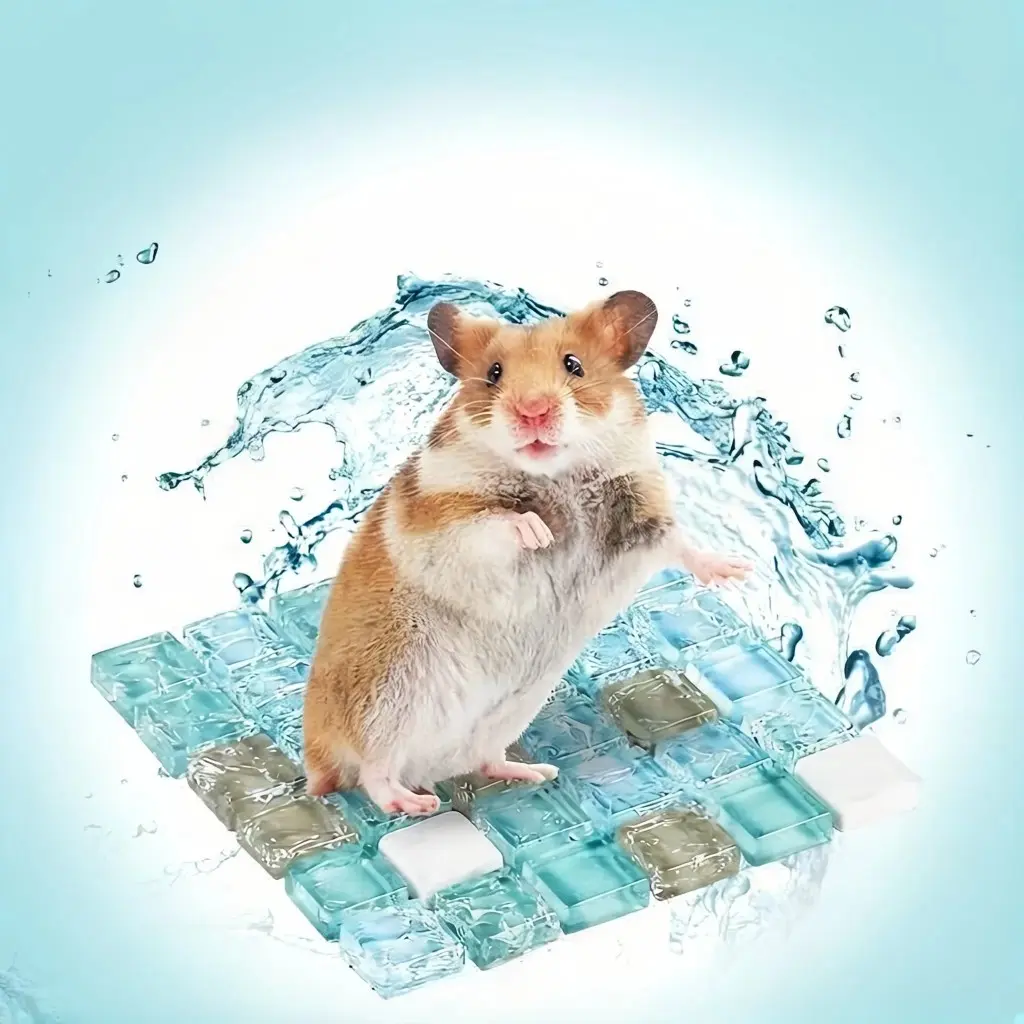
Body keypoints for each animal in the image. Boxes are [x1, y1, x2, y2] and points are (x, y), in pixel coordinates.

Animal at [302, 290, 751, 814]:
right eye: (494, 373)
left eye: (574, 365)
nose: (533, 412)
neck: (557, 474)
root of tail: (316, 765)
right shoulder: (445, 519)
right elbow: (497, 523)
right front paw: (539, 533)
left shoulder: (644, 517)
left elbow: (681, 544)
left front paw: (738, 570)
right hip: (384, 698)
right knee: (373, 774)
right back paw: (417, 805)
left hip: (503, 714)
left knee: (479, 761)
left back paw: (537, 772)